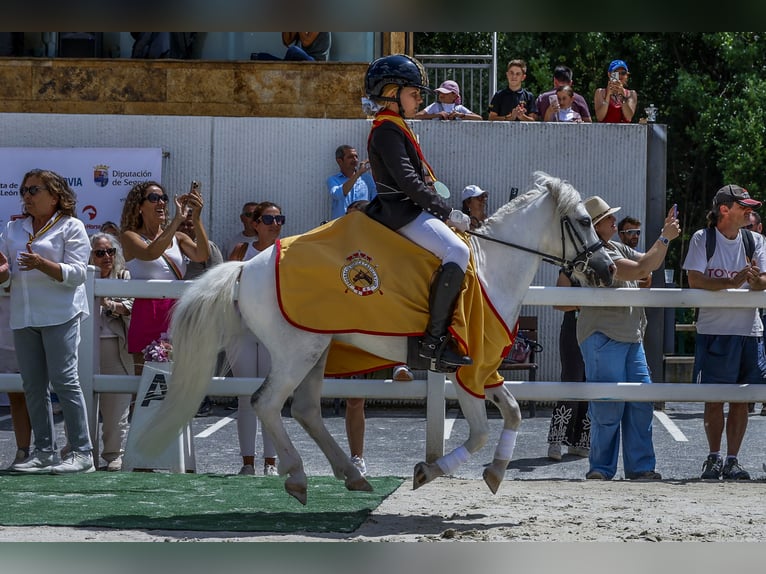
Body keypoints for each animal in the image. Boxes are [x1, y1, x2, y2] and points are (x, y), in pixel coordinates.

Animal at [133, 171, 614, 505]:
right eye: (585, 221)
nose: (607, 270)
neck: (491, 266)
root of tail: (246, 267)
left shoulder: (488, 367)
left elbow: (512, 412)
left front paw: (495, 473)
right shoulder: (468, 369)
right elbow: (478, 432)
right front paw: (428, 472)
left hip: (317, 349)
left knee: (305, 409)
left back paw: (351, 475)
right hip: (295, 352)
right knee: (267, 403)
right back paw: (298, 477)